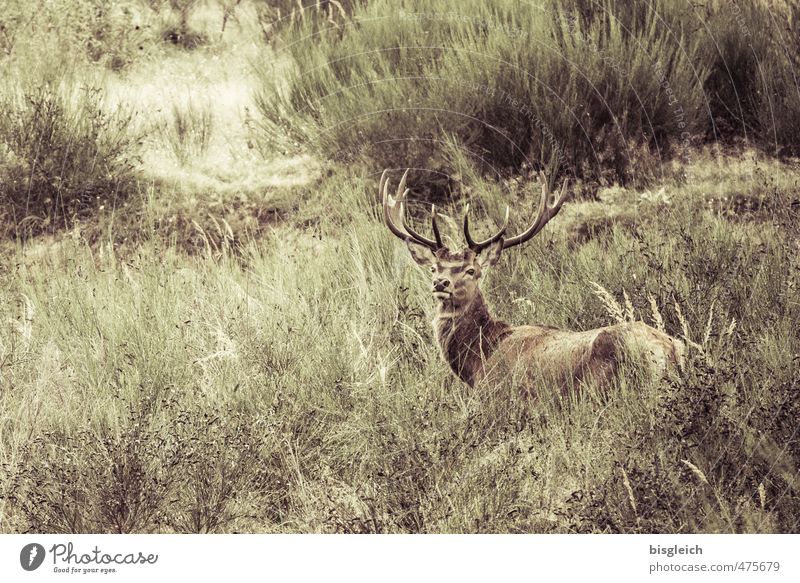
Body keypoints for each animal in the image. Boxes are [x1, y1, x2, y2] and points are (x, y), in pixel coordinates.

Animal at [382, 169, 680, 396]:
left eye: (471, 271)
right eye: (434, 267)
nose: (441, 283)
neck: (478, 360)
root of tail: (670, 348)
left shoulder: (496, 396)